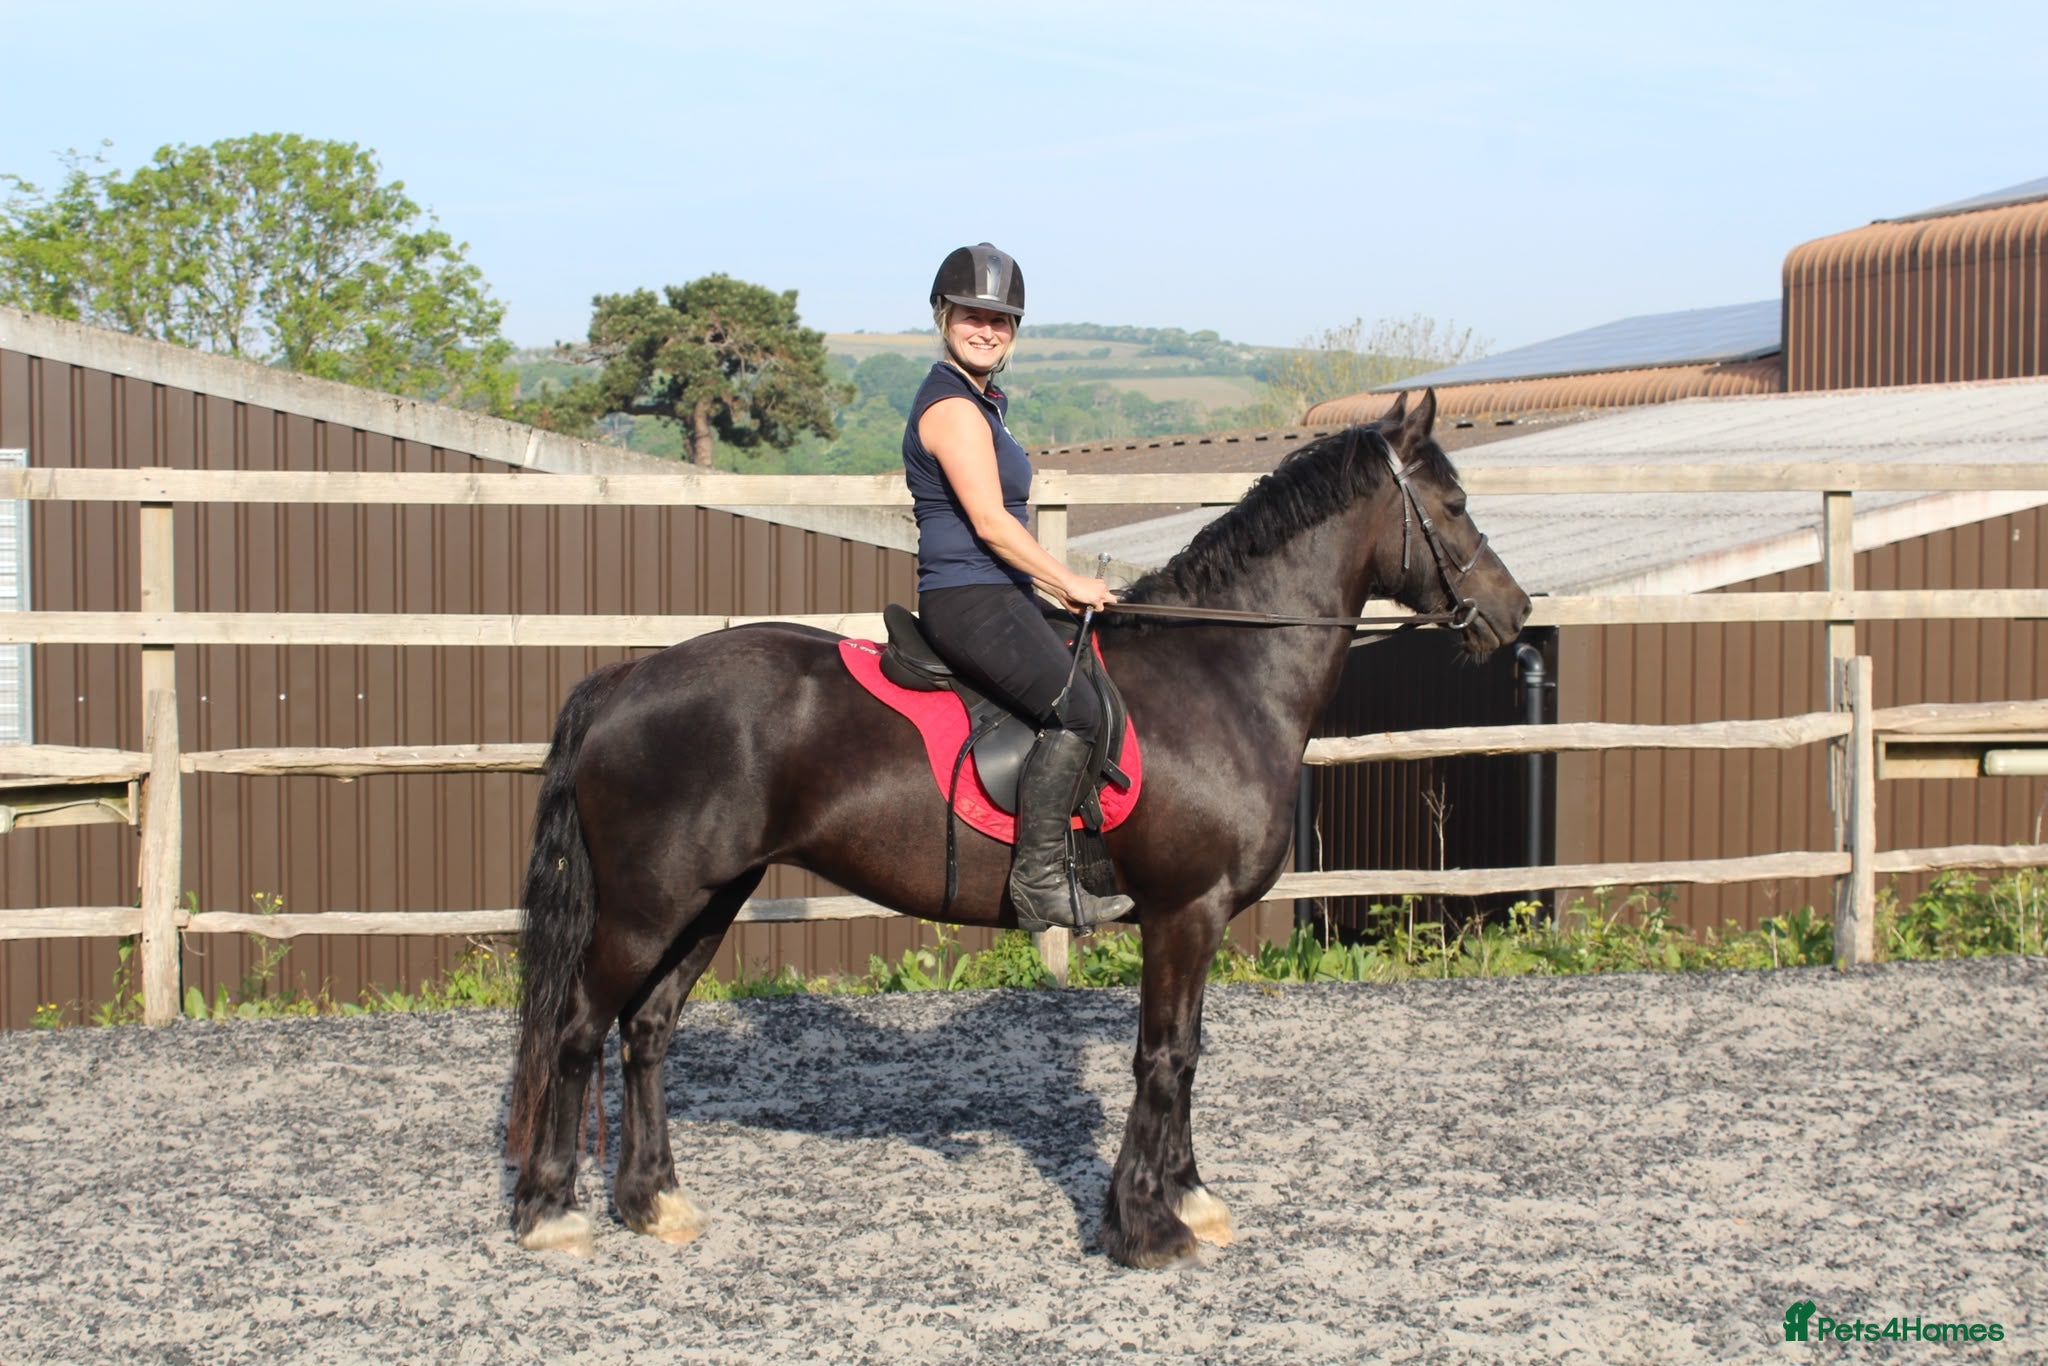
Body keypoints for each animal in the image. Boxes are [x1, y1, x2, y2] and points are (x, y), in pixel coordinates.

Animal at [505, 389, 1531, 1267]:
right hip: (648, 906)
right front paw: (1147, 1227)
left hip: (711, 899)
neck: (1222, 674)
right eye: (1452, 501)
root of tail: (625, 680)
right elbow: (1164, 1057)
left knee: (648, 1032)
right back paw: (552, 1211)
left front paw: (1190, 1197)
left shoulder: (1196, 921)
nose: (1514, 613)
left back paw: (652, 1202)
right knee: (578, 1032)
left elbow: (1189, 1053)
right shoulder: (1184, 912)